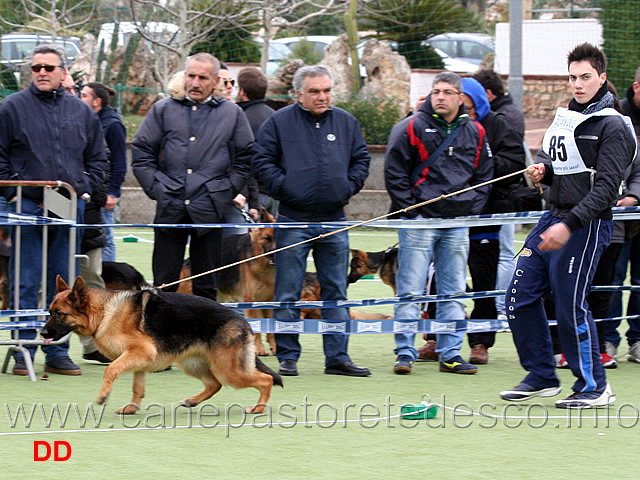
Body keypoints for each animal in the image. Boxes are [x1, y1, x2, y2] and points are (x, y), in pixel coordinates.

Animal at [42, 276, 282, 414]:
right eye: (49, 312)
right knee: (214, 385)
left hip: (229, 370)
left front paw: (104, 395)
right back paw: (192, 402)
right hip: (194, 365)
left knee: (266, 380)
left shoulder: (139, 352)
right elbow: (137, 387)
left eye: (59, 314)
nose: (42, 333)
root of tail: (243, 321)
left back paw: (258, 408)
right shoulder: (139, 359)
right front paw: (132, 408)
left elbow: (111, 370)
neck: (103, 313)